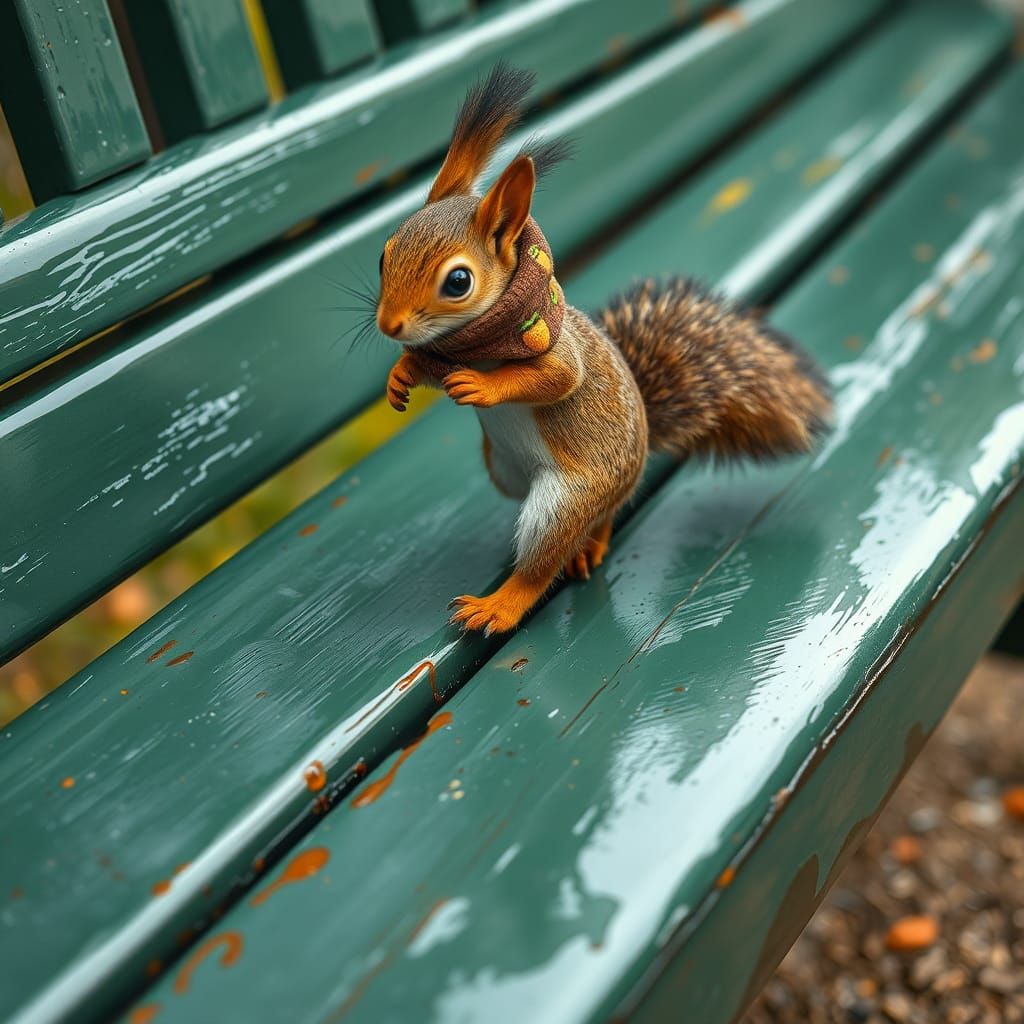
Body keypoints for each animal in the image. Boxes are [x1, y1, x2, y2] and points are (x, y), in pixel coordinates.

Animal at [375, 64, 832, 636]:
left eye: (458, 281)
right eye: (383, 255)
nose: (388, 324)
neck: (482, 339)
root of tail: (640, 455)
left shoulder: (555, 350)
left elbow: (557, 378)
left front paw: (482, 384)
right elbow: (429, 365)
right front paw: (402, 373)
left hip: (564, 500)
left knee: (560, 543)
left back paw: (507, 601)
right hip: (503, 472)